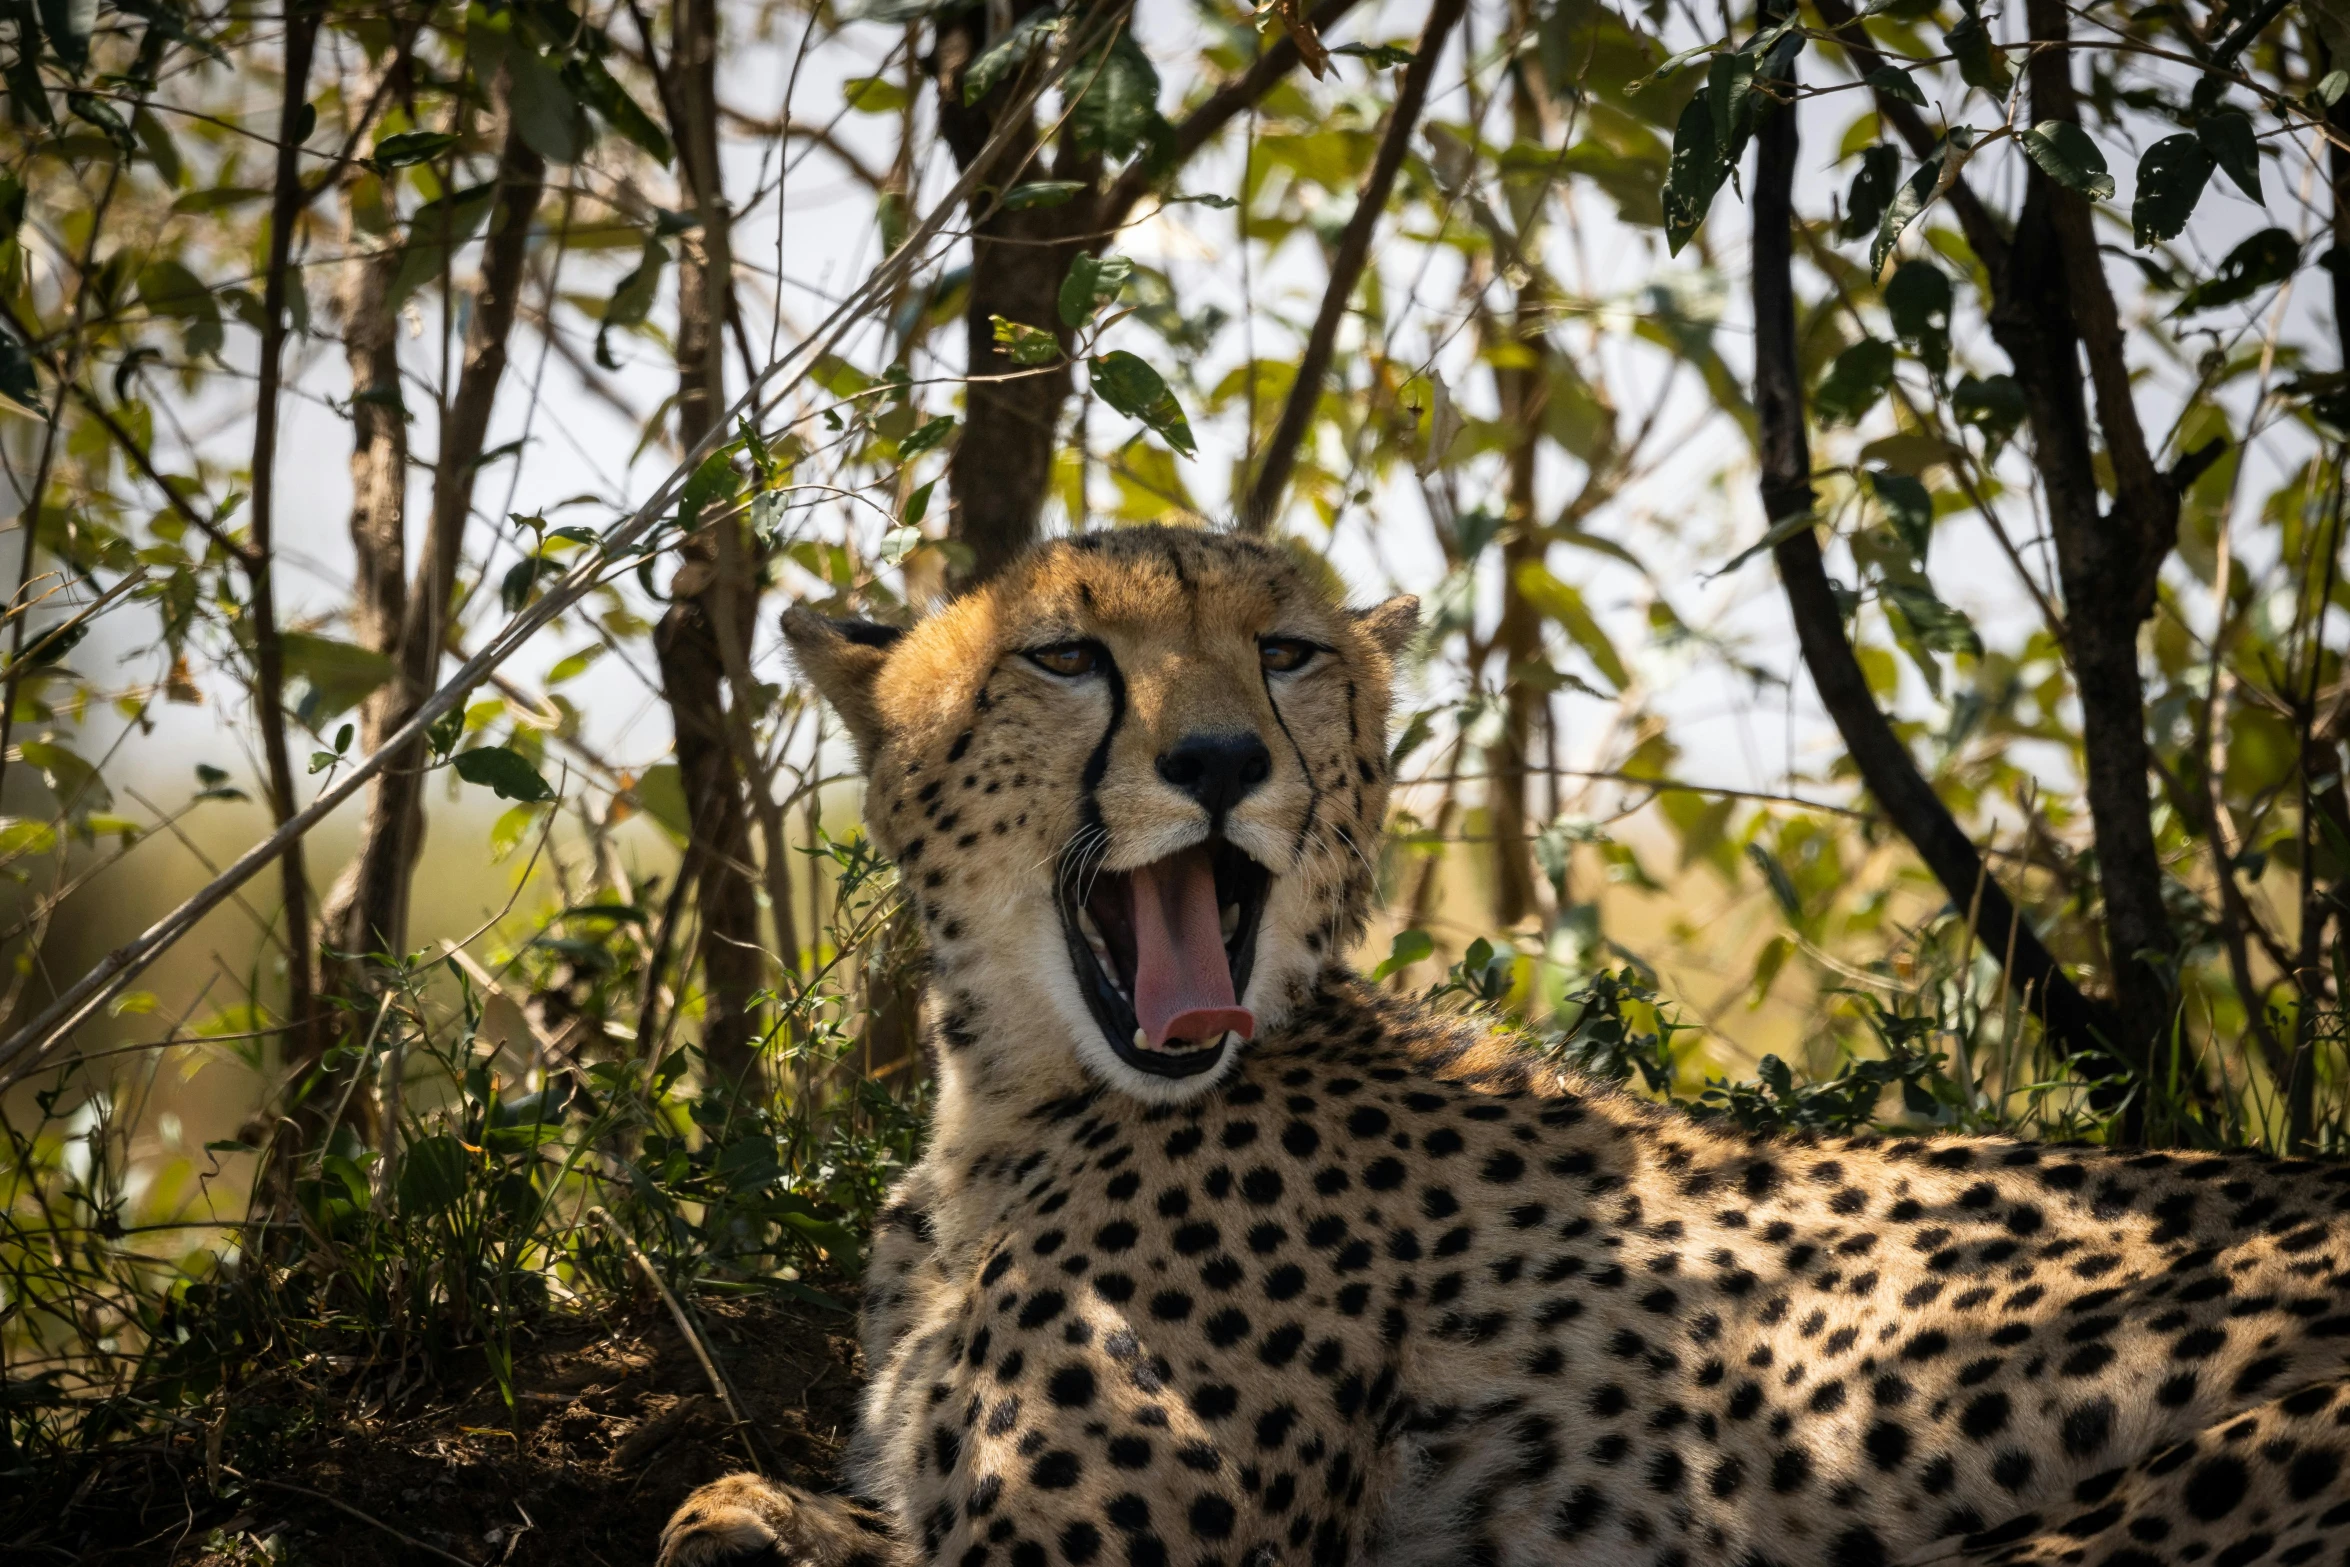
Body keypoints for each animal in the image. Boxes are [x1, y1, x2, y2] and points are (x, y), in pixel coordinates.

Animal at [658, 530, 2350, 1567]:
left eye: (1286, 653)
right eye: (1067, 657)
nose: (1219, 759)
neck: (1012, 1102)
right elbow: (749, 1495)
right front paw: (742, 1509)